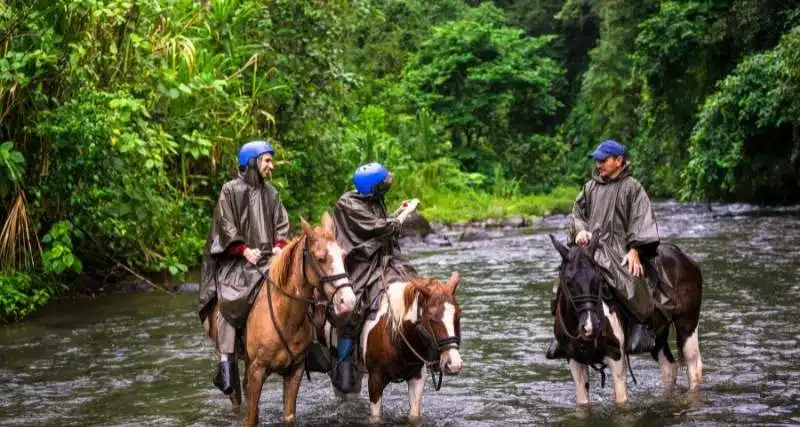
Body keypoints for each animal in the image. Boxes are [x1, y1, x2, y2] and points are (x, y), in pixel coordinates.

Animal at [205, 216, 358, 426]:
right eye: (320, 258)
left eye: (343, 256)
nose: (348, 301)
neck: (285, 316)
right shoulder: (258, 370)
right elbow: (251, 419)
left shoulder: (295, 371)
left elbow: (288, 416)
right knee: (235, 395)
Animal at [552, 236, 700, 406]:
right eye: (569, 281)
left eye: (597, 278)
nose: (590, 327)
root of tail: (681, 255)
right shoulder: (574, 361)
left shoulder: (616, 356)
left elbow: (621, 401)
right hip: (659, 337)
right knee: (669, 368)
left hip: (688, 325)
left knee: (693, 367)